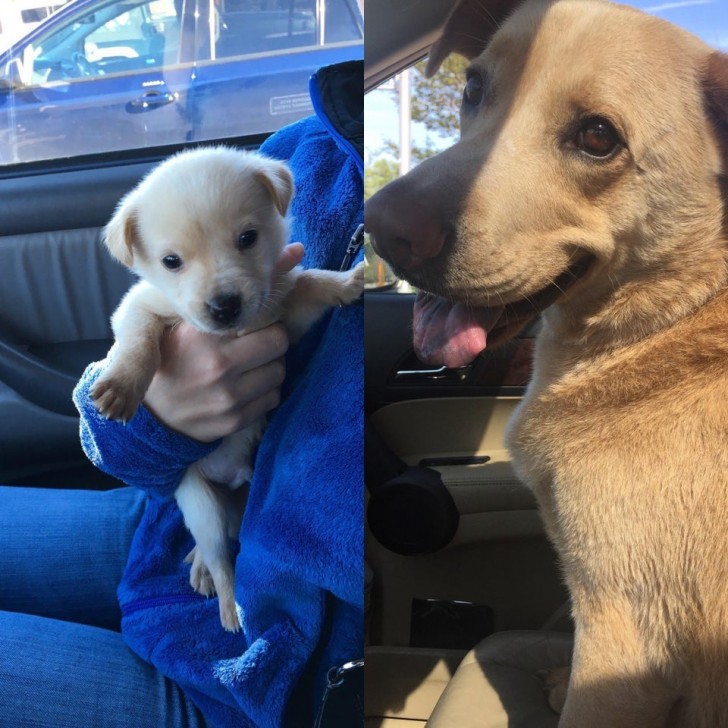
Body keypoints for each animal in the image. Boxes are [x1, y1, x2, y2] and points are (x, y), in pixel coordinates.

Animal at [92, 146, 362, 632]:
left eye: (247, 238)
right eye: (171, 261)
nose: (224, 307)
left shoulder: (282, 314)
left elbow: (309, 281)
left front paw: (347, 282)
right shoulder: (137, 306)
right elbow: (138, 339)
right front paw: (121, 386)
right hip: (200, 503)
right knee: (220, 557)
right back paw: (229, 604)